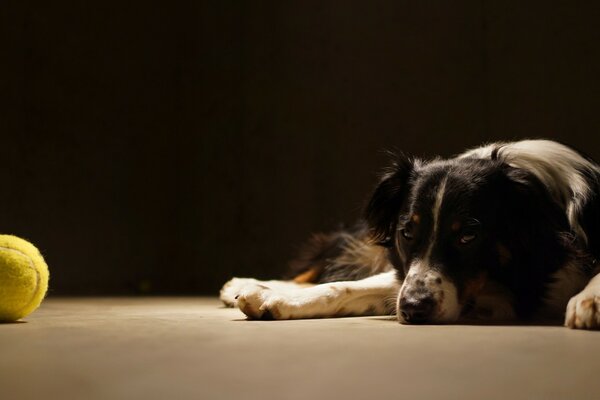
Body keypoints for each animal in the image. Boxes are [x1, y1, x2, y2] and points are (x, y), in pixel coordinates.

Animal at [220, 140, 600, 328]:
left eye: (469, 235)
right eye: (407, 232)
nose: (414, 309)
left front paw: (589, 301)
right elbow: (345, 286)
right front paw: (276, 299)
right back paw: (247, 286)